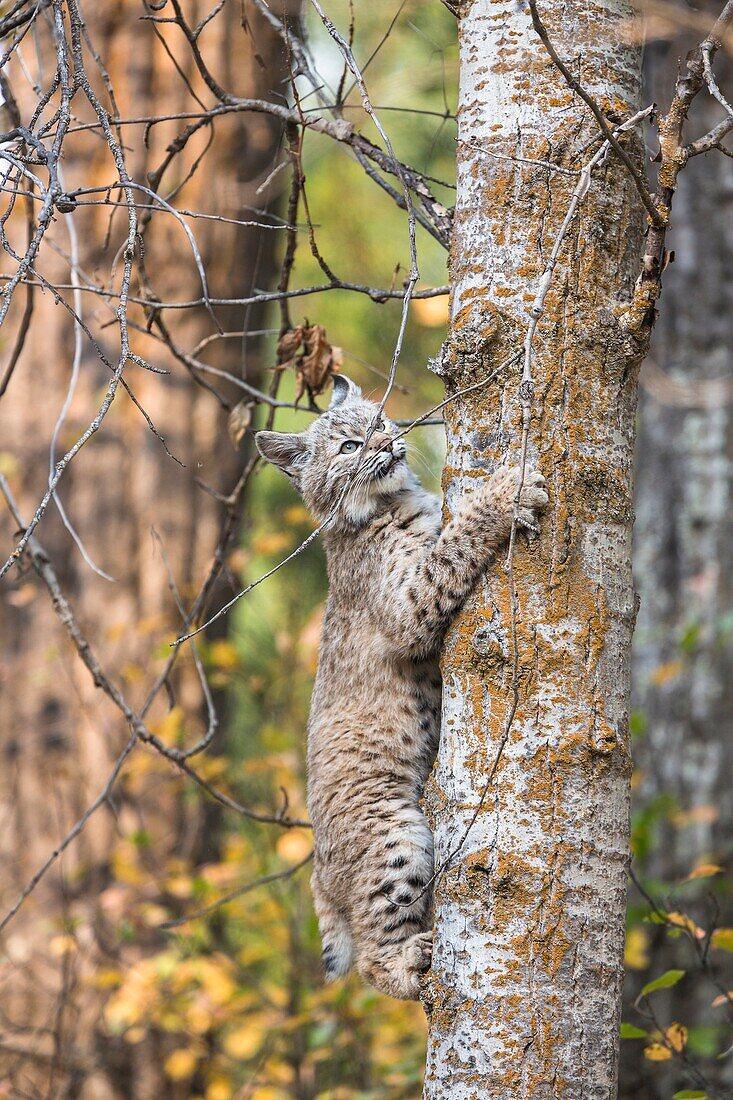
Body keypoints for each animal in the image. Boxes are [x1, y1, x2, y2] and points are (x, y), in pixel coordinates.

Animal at [254, 374, 545, 1003]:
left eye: (380, 422)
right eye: (348, 447)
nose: (386, 444)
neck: (395, 500)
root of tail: (317, 871)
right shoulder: (407, 607)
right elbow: (453, 546)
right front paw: (505, 490)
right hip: (395, 829)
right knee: (369, 958)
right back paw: (412, 960)